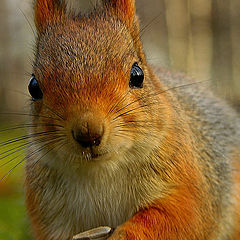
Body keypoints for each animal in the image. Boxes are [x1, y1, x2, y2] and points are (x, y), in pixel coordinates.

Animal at [24, 0, 240, 239]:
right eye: (33, 87)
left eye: (137, 75)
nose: (88, 133)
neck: (101, 171)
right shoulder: (49, 214)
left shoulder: (188, 184)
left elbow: (179, 218)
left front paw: (123, 234)